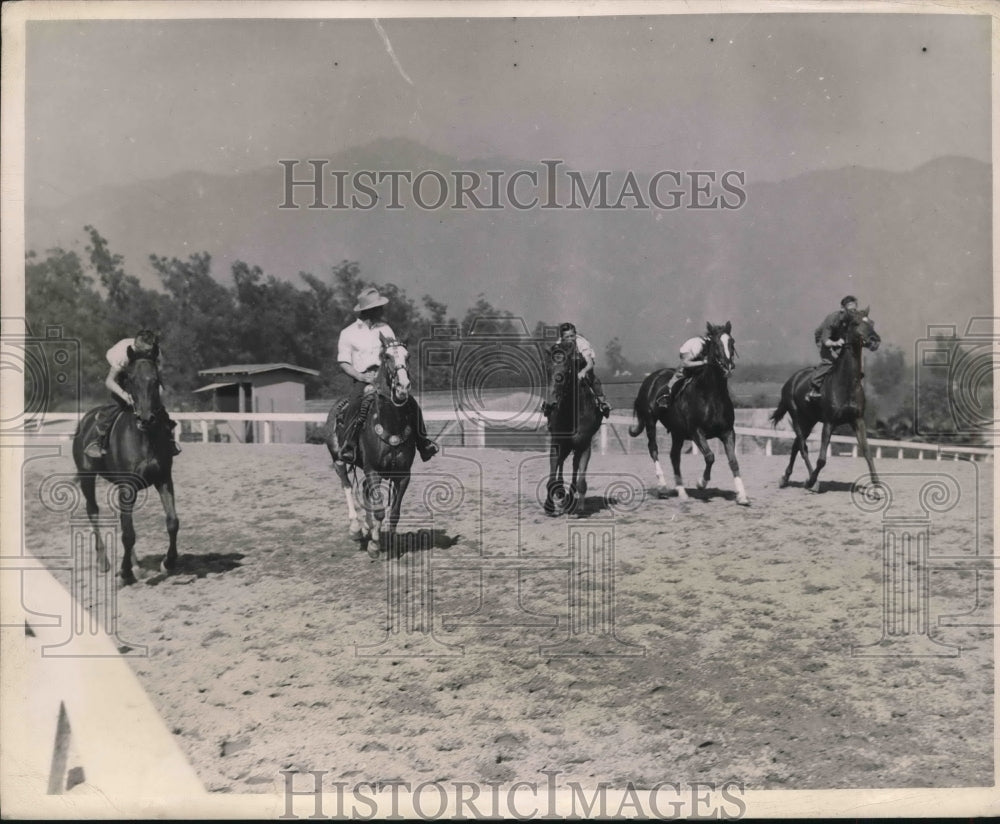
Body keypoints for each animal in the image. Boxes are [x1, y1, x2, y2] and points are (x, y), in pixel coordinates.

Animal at [72, 348, 180, 584]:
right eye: (130, 379)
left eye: (156, 380)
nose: (146, 418)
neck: (144, 438)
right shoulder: (128, 487)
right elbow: (128, 533)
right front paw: (126, 573)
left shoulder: (163, 479)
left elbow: (172, 522)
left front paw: (168, 562)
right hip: (86, 476)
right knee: (93, 511)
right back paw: (104, 561)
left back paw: (136, 564)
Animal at [322, 334, 412, 560]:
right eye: (387, 356)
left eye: (408, 356)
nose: (403, 387)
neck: (391, 423)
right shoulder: (373, 470)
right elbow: (379, 510)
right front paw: (374, 545)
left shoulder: (403, 474)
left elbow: (394, 512)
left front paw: (389, 543)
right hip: (338, 459)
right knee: (346, 485)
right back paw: (356, 528)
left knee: (364, 491)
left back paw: (366, 528)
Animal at [544, 338, 604, 512]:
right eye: (548, 370)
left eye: (565, 372)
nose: (550, 404)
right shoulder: (557, 441)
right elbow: (553, 470)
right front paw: (549, 504)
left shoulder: (584, 444)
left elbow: (581, 479)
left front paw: (578, 507)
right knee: (563, 461)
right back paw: (561, 493)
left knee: (575, 465)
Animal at [628, 320, 748, 502]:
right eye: (715, 344)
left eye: (732, 342)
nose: (728, 367)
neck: (711, 394)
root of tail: (650, 378)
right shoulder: (696, 431)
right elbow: (710, 456)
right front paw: (701, 483)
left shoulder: (727, 431)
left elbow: (733, 461)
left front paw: (742, 496)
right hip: (650, 421)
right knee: (653, 449)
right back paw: (663, 487)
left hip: (677, 431)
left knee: (674, 456)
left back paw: (682, 491)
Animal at [768, 306, 880, 492]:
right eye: (856, 323)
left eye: (872, 322)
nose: (875, 340)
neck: (846, 383)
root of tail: (791, 380)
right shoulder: (829, 422)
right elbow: (821, 459)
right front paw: (811, 481)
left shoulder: (857, 419)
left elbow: (867, 453)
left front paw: (877, 488)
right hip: (796, 416)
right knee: (802, 447)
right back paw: (810, 481)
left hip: (809, 420)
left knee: (795, 446)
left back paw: (785, 478)